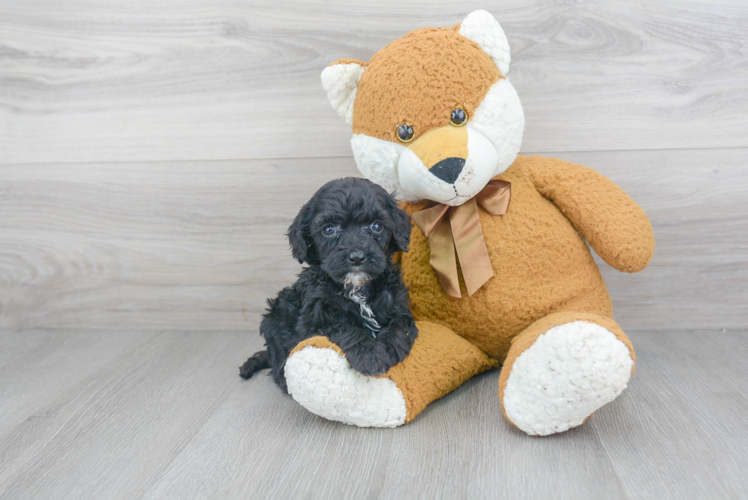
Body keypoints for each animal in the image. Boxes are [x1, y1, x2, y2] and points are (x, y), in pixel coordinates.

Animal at [240, 178, 418, 392]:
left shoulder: (397, 303)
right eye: (329, 230)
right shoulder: (314, 321)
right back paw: (283, 378)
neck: (356, 288)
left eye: (376, 226)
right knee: (277, 355)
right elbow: (344, 327)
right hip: (274, 317)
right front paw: (370, 356)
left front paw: (390, 346)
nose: (357, 257)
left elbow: (401, 324)